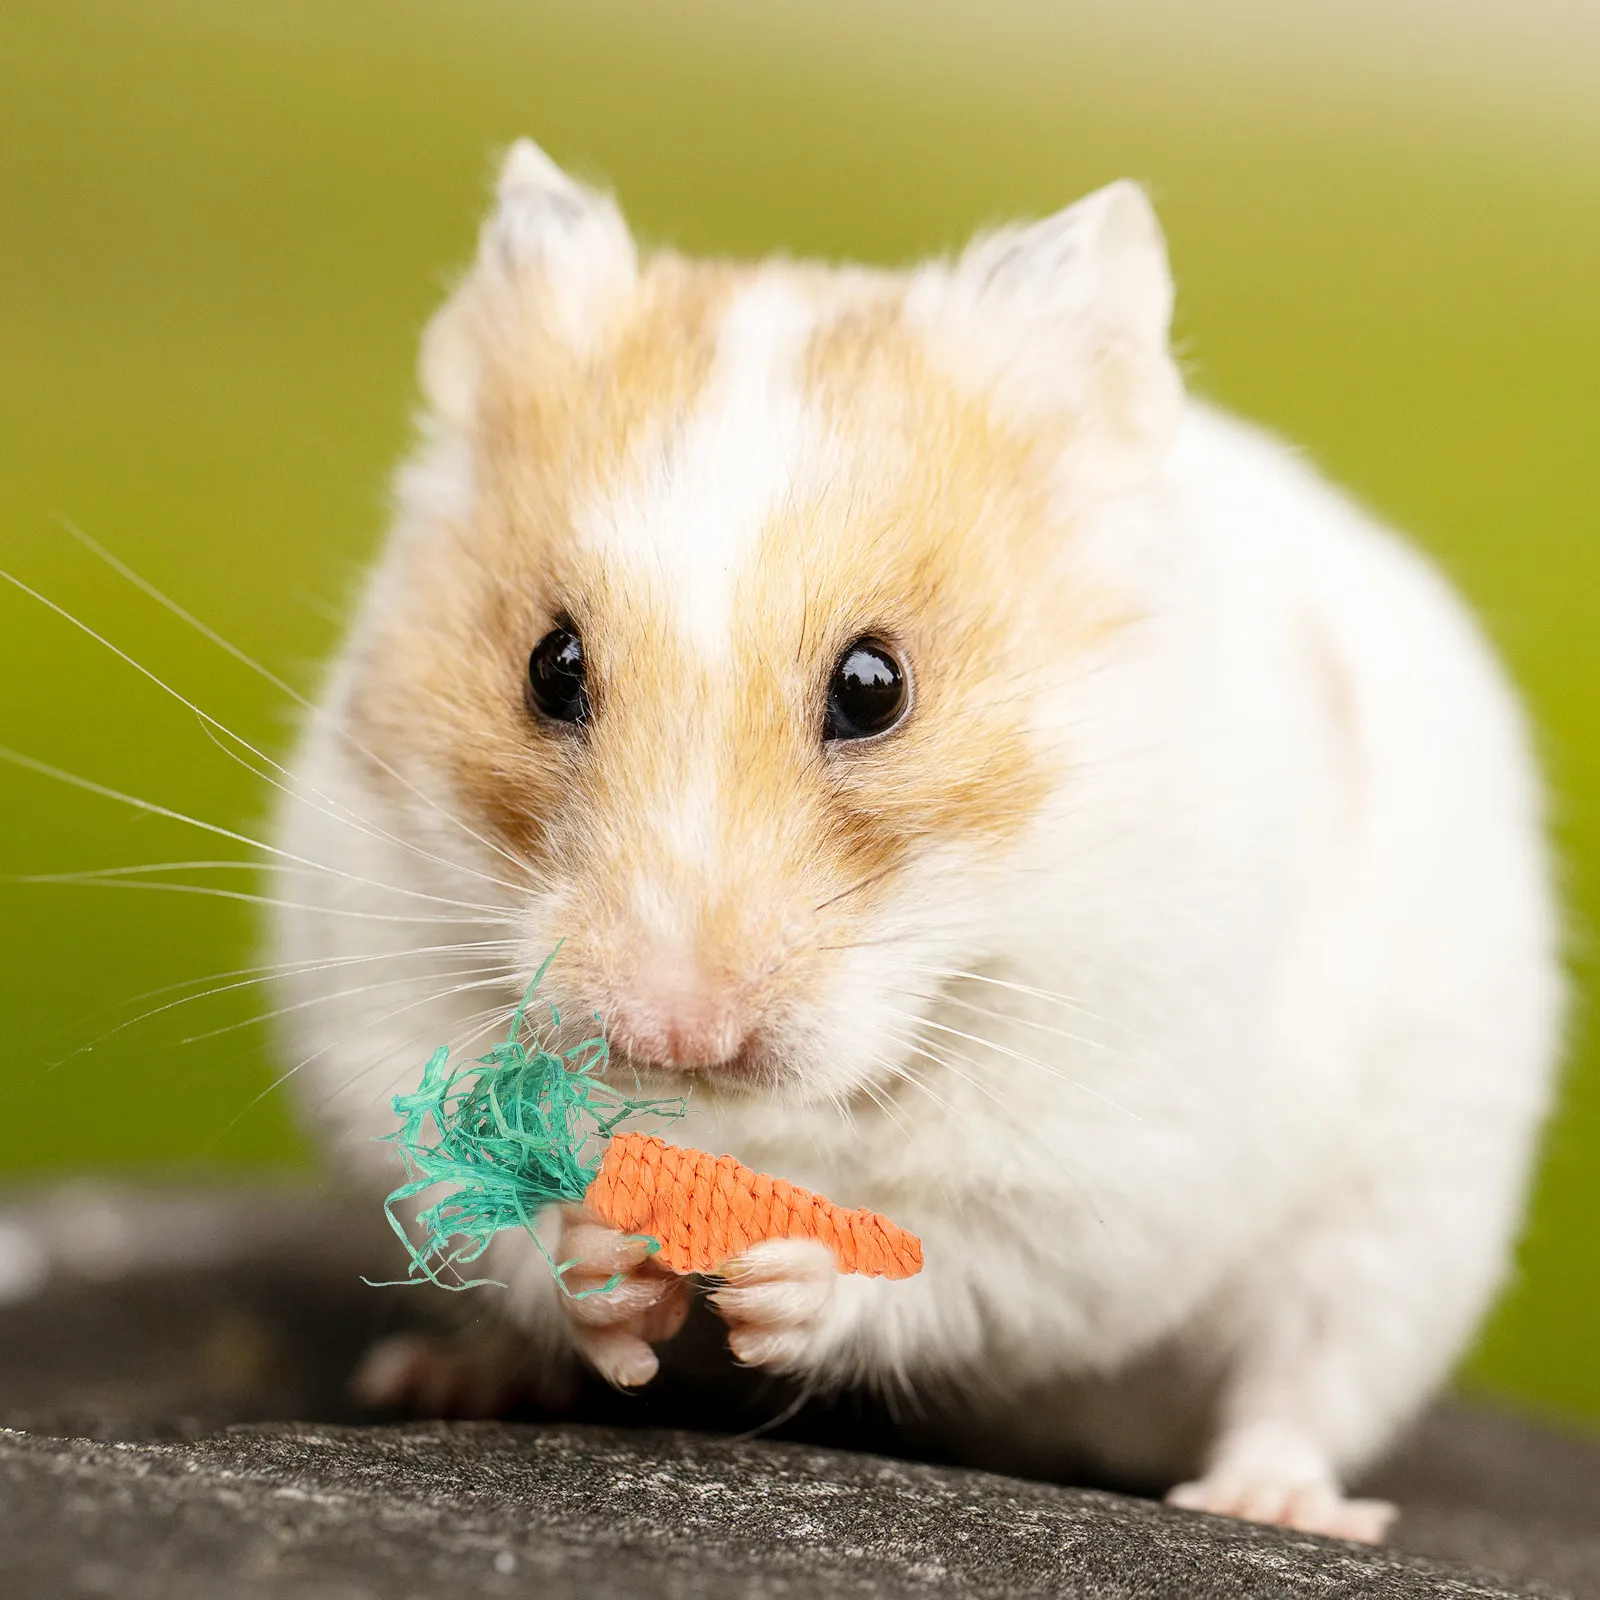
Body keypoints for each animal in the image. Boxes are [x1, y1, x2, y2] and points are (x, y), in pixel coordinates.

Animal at [270, 139, 1563, 1542]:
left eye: (875, 686)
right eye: (549, 667)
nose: (676, 1038)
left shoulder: (1103, 1166)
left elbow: (950, 1263)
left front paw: (784, 1282)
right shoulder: (377, 1004)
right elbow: (507, 1222)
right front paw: (607, 1265)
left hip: (1404, 1217)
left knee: (1308, 1375)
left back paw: (1269, 1502)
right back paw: (437, 1376)